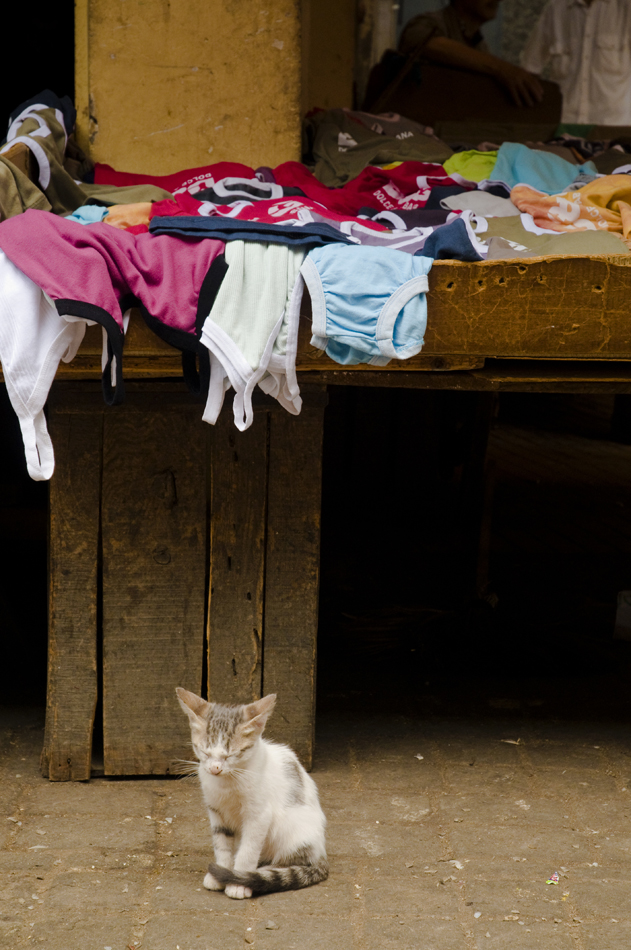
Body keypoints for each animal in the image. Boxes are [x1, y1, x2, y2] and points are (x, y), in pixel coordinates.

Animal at [175, 692, 328, 900]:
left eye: (230, 755)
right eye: (205, 752)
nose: (215, 768)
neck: (227, 783)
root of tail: (321, 852)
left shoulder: (259, 816)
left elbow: (248, 849)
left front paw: (238, 882)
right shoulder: (216, 812)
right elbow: (221, 844)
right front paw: (220, 873)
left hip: (294, 831)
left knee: (295, 861)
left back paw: (260, 873)